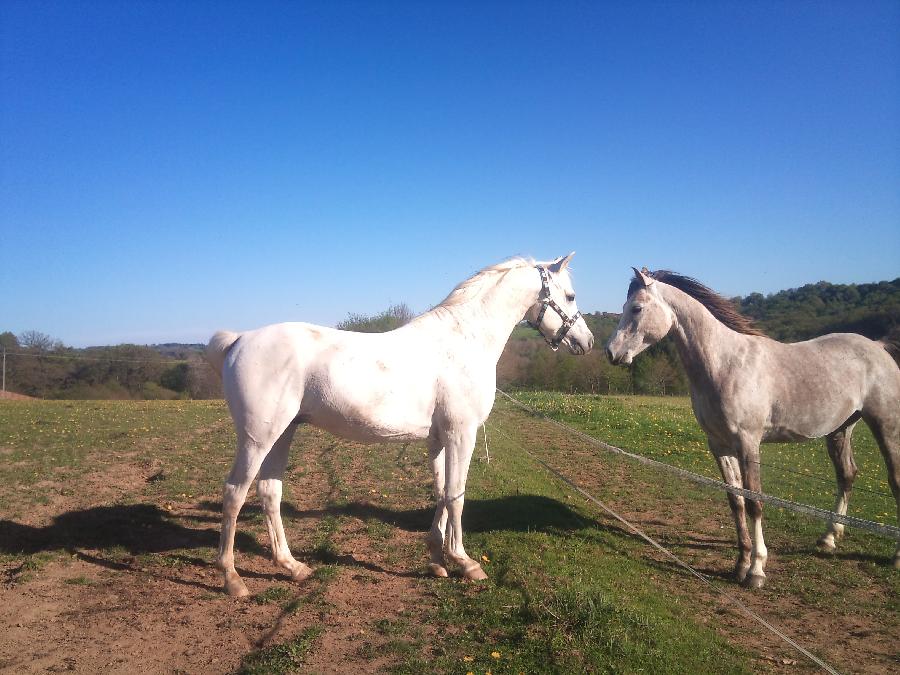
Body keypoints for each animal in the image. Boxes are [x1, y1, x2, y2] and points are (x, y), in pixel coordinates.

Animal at [207, 258, 596, 596]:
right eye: (571, 295)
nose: (587, 342)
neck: (464, 341)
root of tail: (238, 340)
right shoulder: (462, 434)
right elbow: (457, 496)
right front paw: (465, 562)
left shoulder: (439, 439)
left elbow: (441, 492)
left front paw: (437, 560)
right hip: (258, 438)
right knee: (234, 493)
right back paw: (232, 579)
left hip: (283, 434)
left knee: (269, 493)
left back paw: (293, 566)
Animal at [604, 266, 900, 588]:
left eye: (637, 308)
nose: (610, 353)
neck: (725, 363)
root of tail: (878, 347)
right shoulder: (719, 446)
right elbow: (736, 502)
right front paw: (741, 563)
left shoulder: (748, 445)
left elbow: (755, 503)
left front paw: (756, 570)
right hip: (840, 429)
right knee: (846, 475)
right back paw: (829, 538)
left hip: (886, 426)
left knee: (894, 481)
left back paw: (895, 557)